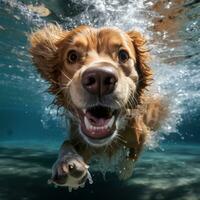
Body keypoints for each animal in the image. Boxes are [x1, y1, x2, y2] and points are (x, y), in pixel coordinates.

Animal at [28, 23, 166, 191]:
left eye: (123, 55)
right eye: (72, 56)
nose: (100, 78)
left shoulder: (141, 135)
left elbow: (133, 154)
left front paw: (125, 170)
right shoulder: (79, 138)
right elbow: (66, 143)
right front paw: (68, 161)